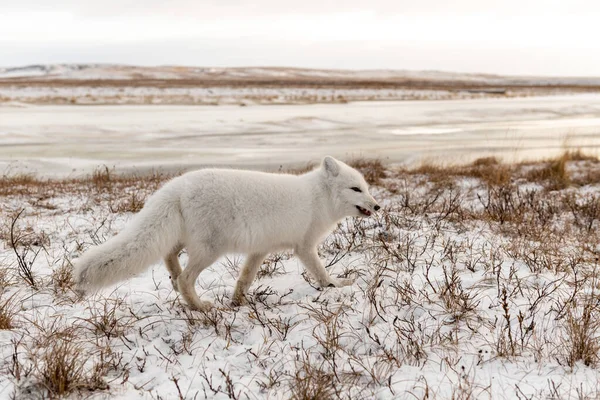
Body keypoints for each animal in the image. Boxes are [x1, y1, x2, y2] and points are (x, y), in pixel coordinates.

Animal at [72, 155, 378, 310]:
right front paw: (335, 286)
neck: (318, 198)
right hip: (210, 249)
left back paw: (175, 281)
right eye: (355, 189)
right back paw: (199, 306)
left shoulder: (260, 249)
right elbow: (321, 272)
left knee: (169, 256)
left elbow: (245, 278)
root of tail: (177, 185)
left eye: (366, 187)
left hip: (187, 239)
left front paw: (237, 301)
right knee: (186, 278)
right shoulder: (304, 246)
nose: (377, 206)